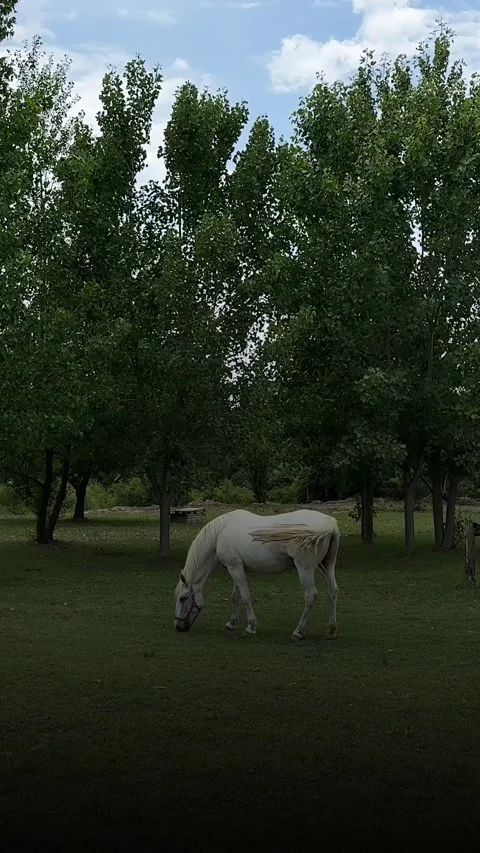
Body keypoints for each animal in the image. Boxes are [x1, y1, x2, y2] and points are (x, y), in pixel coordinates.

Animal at [174, 508, 340, 640]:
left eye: (182, 598)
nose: (178, 627)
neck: (220, 532)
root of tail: (330, 524)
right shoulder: (236, 568)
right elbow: (236, 596)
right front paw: (231, 623)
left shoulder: (235, 569)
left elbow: (245, 596)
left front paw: (251, 626)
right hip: (325, 567)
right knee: (332, 592)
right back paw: (331, 630)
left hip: (305, 570)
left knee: (311, 596)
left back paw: (299, 631)